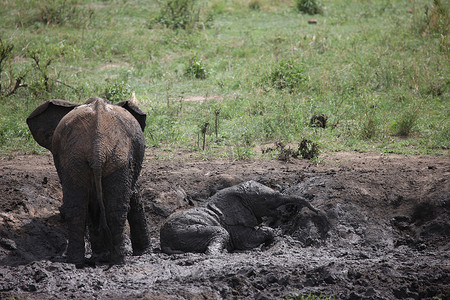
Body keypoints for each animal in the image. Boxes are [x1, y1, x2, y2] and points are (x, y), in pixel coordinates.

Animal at [27, 97, 150, 266]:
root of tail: (97, 148)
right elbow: (134, 196)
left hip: (86, 159)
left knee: (79, 208)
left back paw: (79, 261)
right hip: (108, 157)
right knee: (111, 207)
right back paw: (115, 260)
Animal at [160, 179, 318, 254]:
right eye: (265, 200)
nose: (316, 211)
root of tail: (163, 242)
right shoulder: (233, 225)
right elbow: (248, 238)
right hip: (185, 232)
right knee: (220, 233)